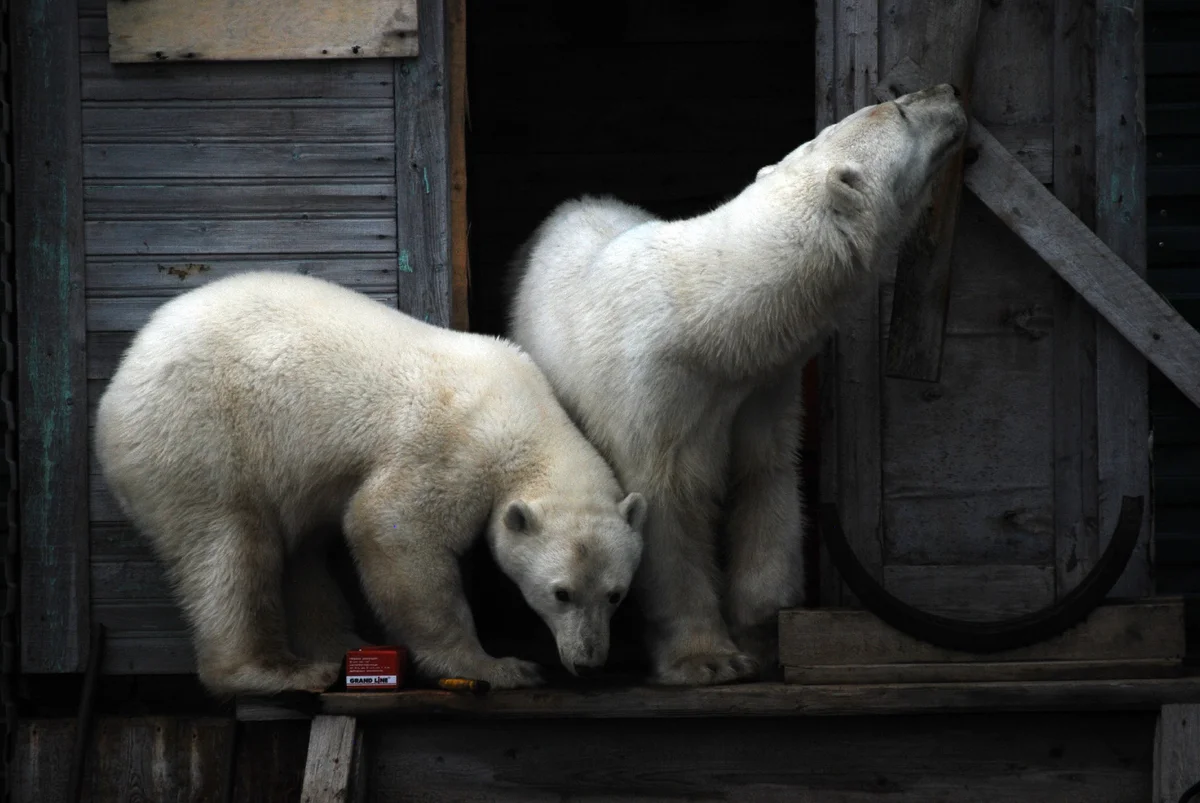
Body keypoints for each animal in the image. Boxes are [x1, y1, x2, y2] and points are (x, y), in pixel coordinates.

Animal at [96, 271, 648, 696]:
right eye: (561, 593)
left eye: (616, 595)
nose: (588, 662)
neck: (525, 412)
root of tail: (119, 383)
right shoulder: (450, 449)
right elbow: (393, 528)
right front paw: (500, 667)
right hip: (200, 437)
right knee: (231, 551)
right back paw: (279, 672)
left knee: (300, 553)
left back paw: (344, 647)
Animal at [506, 82, 964, 681]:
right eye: (899, 109)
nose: (947, 90)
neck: (708, 320)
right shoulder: (656, 392)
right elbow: (669, 509)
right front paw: (707, 658)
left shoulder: (762, 387)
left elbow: (766, 480)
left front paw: (763, 636)